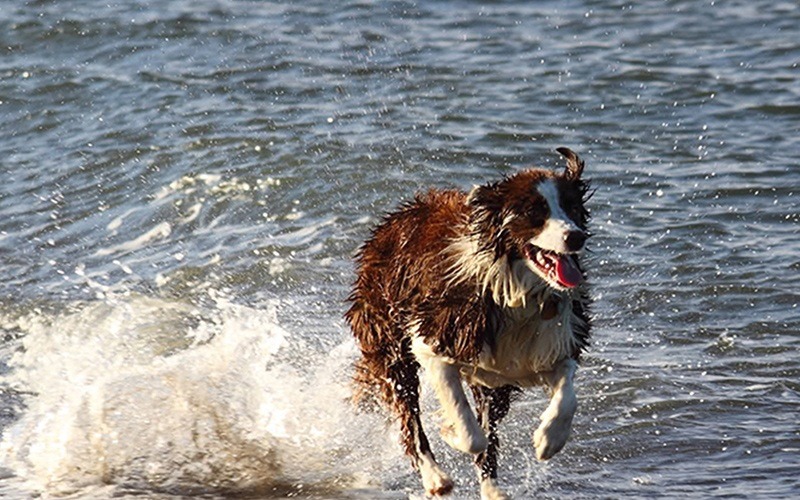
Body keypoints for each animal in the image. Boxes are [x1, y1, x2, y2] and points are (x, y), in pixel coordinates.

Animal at [346, 146, 592, 498]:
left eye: (572, 208)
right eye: (534, 212)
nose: (576, 237)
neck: (518, 290)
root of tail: (394, 219)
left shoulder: (548, 344)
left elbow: (567, 393)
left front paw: (549, 439)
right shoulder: (433, 339)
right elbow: (470, 430)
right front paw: (450, 430)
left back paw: (493, 491)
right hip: (390, 342)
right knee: (410, 416)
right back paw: (434, 476)